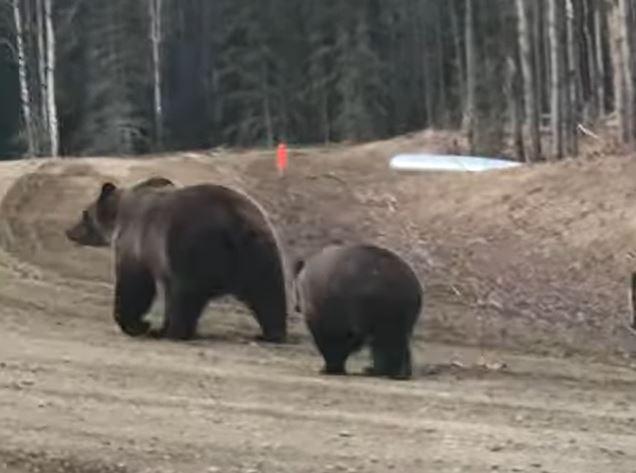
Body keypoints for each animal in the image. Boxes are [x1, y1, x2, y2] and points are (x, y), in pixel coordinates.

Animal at [65, 177, 288, 342]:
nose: (69, 231)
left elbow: (135, 285)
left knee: (186, 295)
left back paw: (173, 332)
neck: (119, 217)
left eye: (84, 213)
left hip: (188, 247)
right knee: (268, 292)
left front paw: (138, 324)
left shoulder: (137, 245)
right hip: (260, 248)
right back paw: (272, 332)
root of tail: (233, 221)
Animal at [294, 243, 422, 380]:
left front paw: (330, 367)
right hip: (400, 309)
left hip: (381, 304)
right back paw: (396, 371)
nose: (296, 307)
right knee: (397, 337)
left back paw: (379, 370)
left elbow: (330, 334)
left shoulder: (325, 305)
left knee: (386, 338)